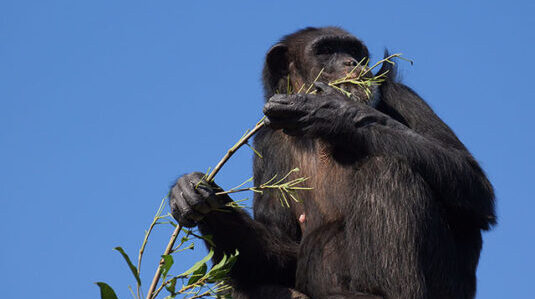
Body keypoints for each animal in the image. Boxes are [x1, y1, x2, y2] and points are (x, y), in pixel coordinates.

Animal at [170, 27, 496, 298]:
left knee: (387, 170)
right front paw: (197, 194)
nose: (351, 62)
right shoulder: (266, 142)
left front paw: (332, 111)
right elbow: (283, 250)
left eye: (354, 50)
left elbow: (471, 180)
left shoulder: (403, 96)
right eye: (326, 50)